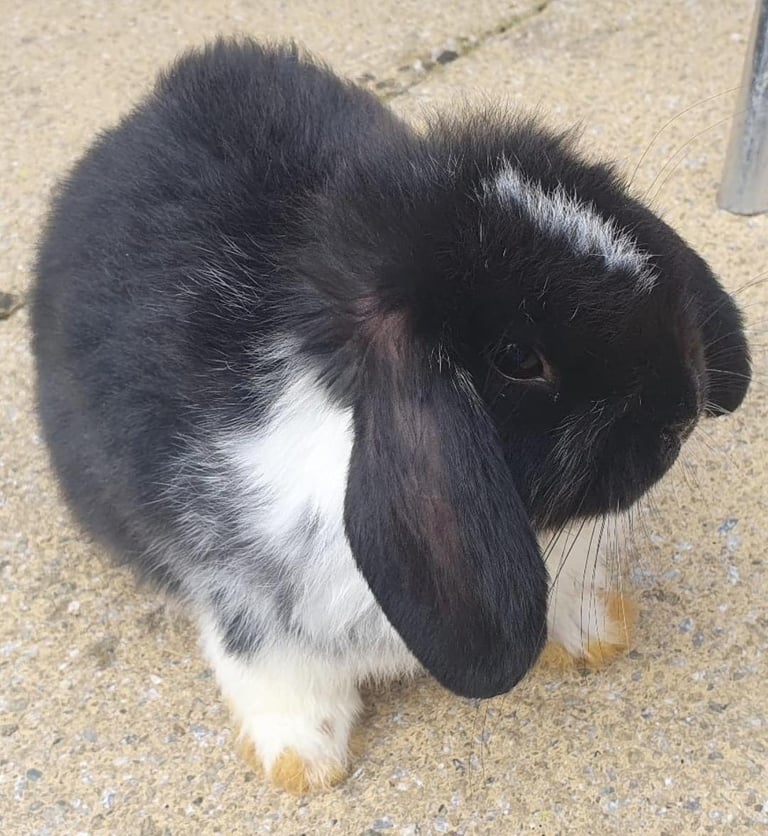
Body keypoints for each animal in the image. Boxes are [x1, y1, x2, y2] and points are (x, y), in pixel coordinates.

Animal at [31, 38, 751, 793]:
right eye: (518, 358)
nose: (683, 411)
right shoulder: (239, 588)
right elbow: (260, 659)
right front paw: (306, 763)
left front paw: (596, 632)